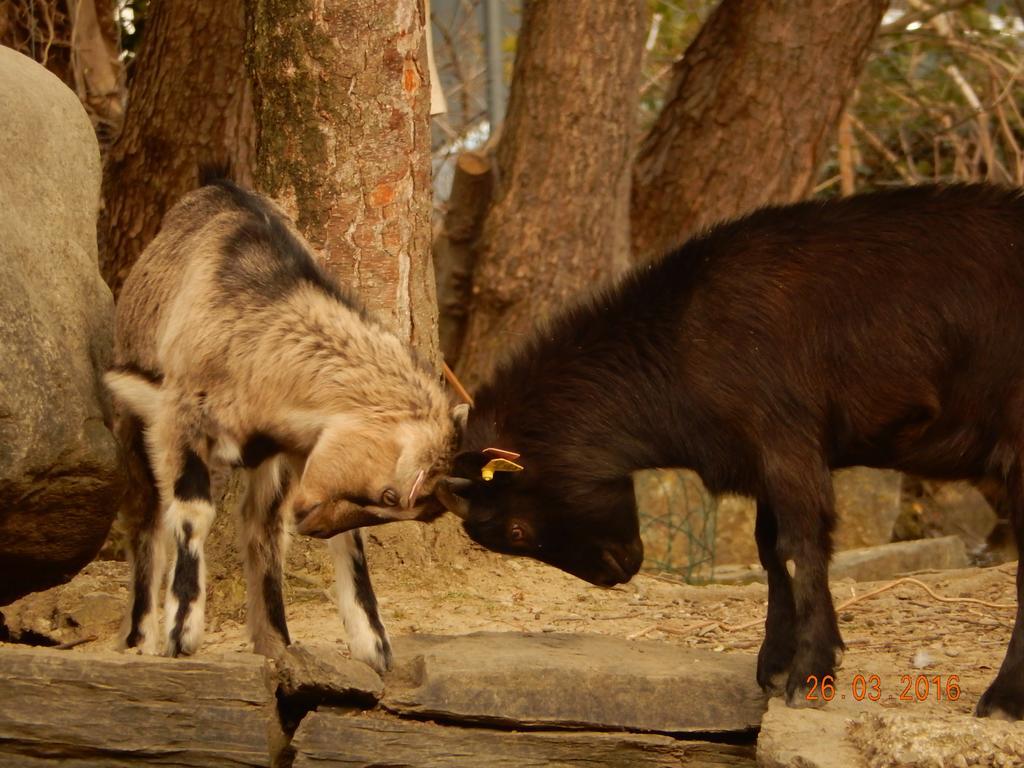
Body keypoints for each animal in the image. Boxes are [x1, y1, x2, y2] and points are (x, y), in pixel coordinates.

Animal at [105, 177, 462, 671]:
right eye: (392, 495)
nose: (313, 525)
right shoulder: (178, 419)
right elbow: (192, 511)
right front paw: (181, 632)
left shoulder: (296, 447)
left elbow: (309, 536)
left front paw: (370, 644)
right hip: (134, 421)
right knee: (145, 513)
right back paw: (141, 636)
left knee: (260, 526)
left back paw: (273, 638)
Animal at [442, 183, 1024, 720]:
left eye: (518, 530)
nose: (615, 573)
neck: (682, 341)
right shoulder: (761, 461)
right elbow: (769, 551)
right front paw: (776, 663)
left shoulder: (787, 440)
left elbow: (799, 546)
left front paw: (810, 674)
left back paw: (1002, 699)